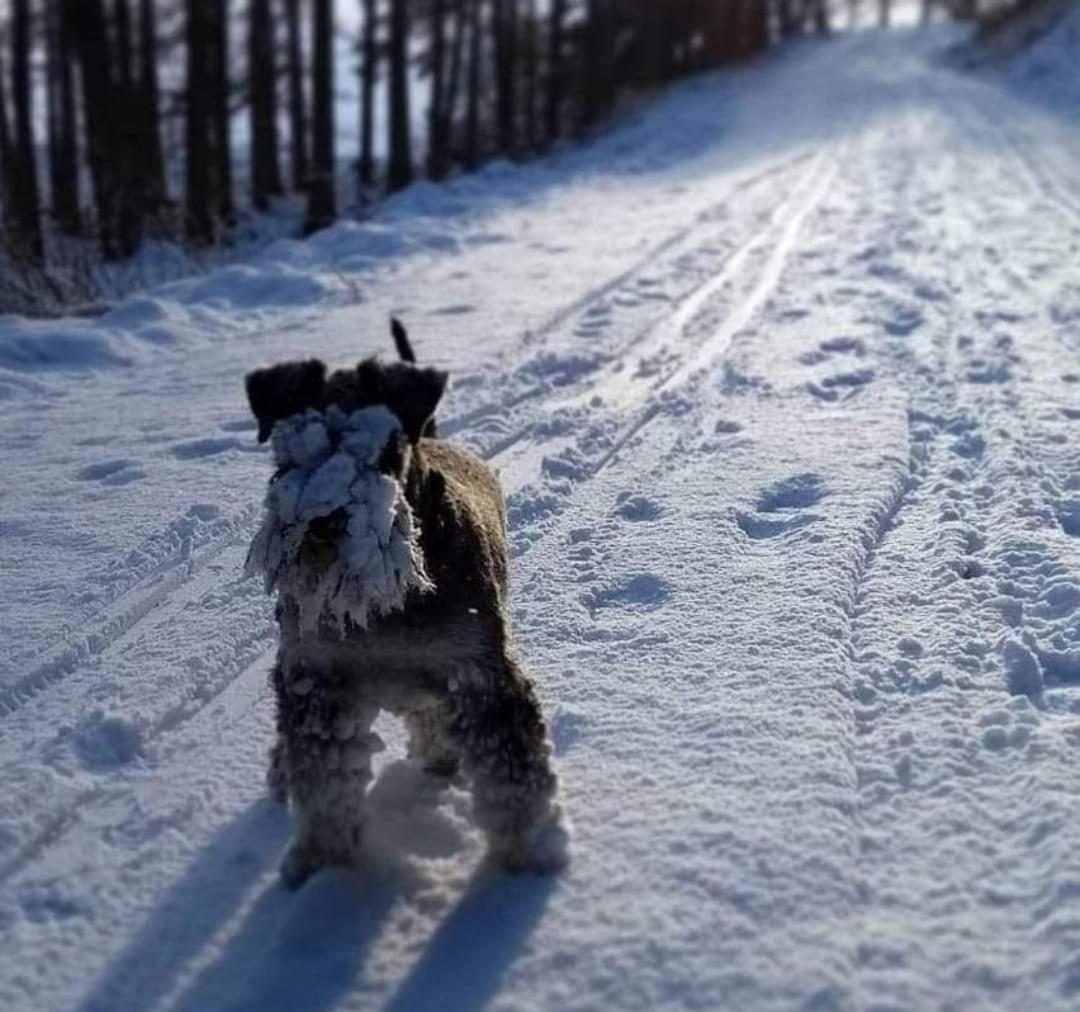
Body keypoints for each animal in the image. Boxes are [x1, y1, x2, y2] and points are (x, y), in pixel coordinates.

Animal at [243, 319, 565, 881]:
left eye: (385, 450)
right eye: (286, 455)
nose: (323, 521)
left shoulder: (482, 677)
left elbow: (513, 779)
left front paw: (522, 856)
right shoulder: (315, 681)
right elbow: (325, 784)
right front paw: (324, 863)